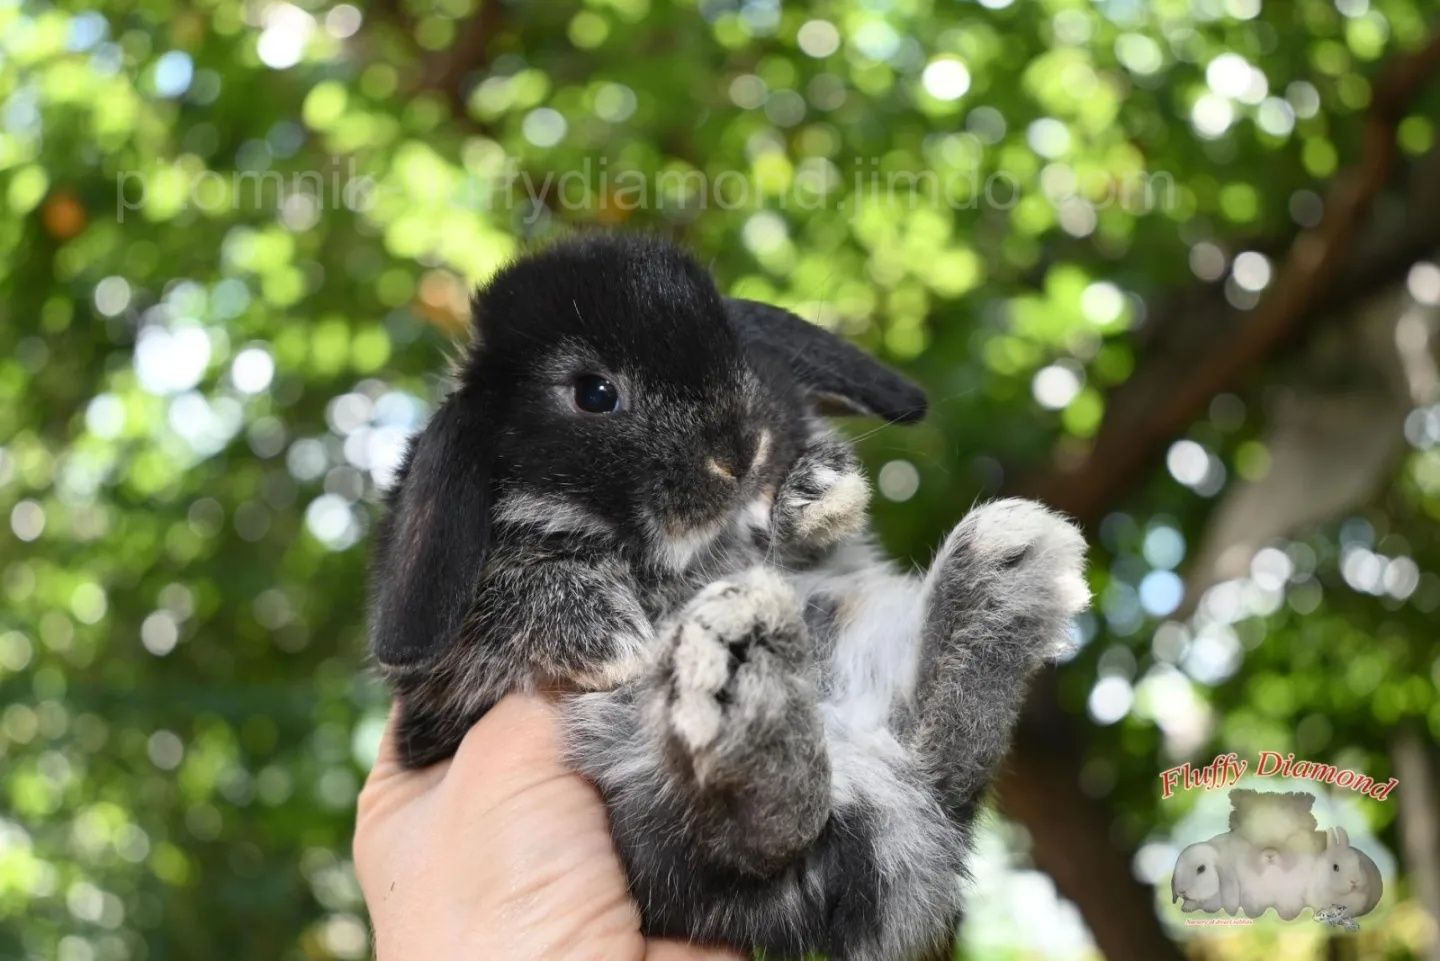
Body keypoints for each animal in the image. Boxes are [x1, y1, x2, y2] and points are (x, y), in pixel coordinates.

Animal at [368, 234, 1088, 961]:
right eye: (594, 393)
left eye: (733, 345)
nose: (741, 452)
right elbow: (513, 582)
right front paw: (609, 636)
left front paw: (818, 493)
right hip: (652, 823)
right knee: (757, 834)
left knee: (928, 764)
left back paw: (1004, 564)